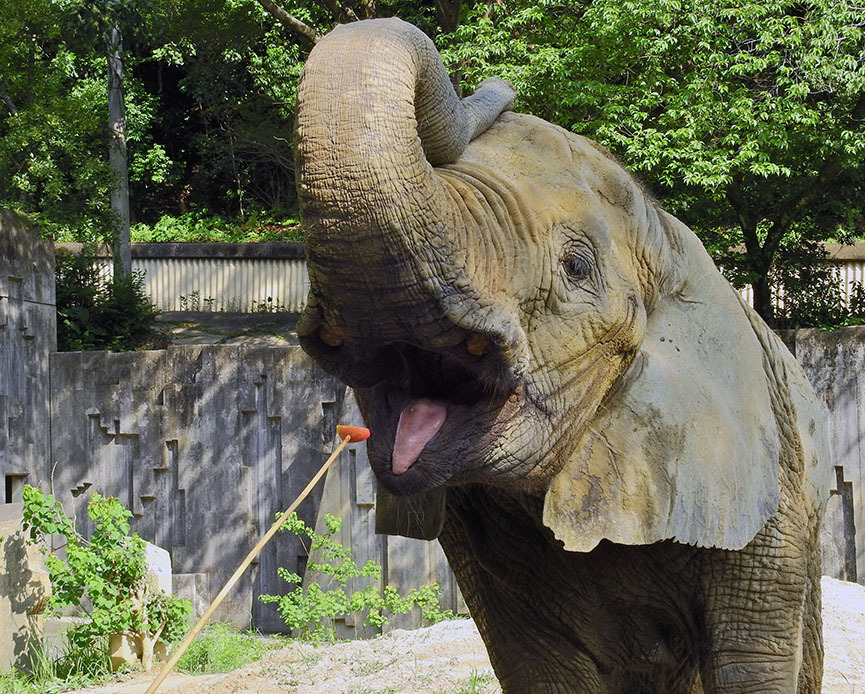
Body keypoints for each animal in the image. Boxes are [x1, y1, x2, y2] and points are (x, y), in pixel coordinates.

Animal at [296, 16, 832, 694]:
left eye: (576, 267)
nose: (500, 85)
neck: (669, 239)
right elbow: (538, 663)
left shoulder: (767, 492)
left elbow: (749, 661)